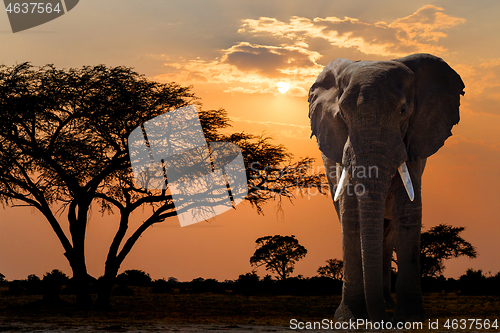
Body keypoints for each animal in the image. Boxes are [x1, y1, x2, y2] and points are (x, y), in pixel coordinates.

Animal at [308, 53, 464, 320]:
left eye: (403, 111)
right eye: (342, 114)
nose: (382, 322)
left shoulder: (414, 142)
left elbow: (408, 211)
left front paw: (410, 318)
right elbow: (351, 215)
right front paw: (349, 318)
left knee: (387, 233)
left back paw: (387, 304)